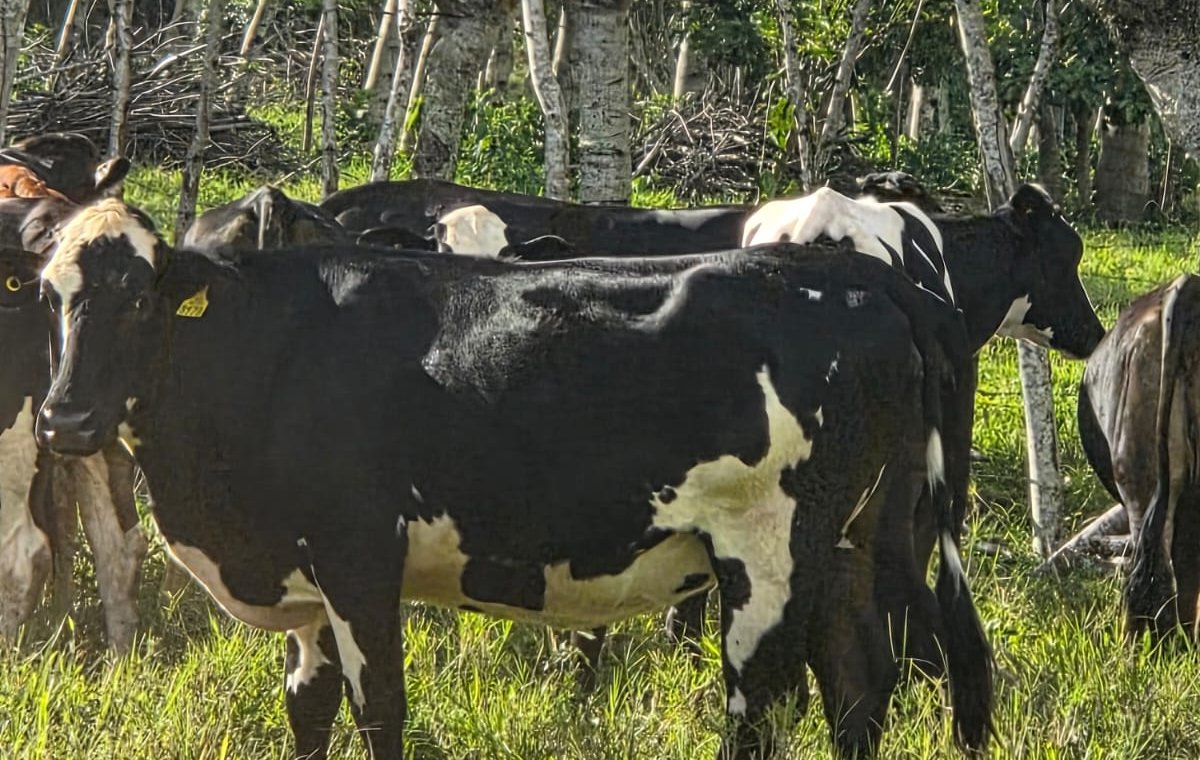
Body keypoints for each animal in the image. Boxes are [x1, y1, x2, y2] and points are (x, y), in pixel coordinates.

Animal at [33, 198, 993, 759]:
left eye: (141, 300)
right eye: (50, 295)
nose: (64, 420)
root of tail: (850, 270)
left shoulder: (358, 559)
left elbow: (379, 705)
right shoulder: (302, 580)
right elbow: (307, 708)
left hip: (770, 548)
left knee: (761, 703)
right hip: (855, 538)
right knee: (860, 680)